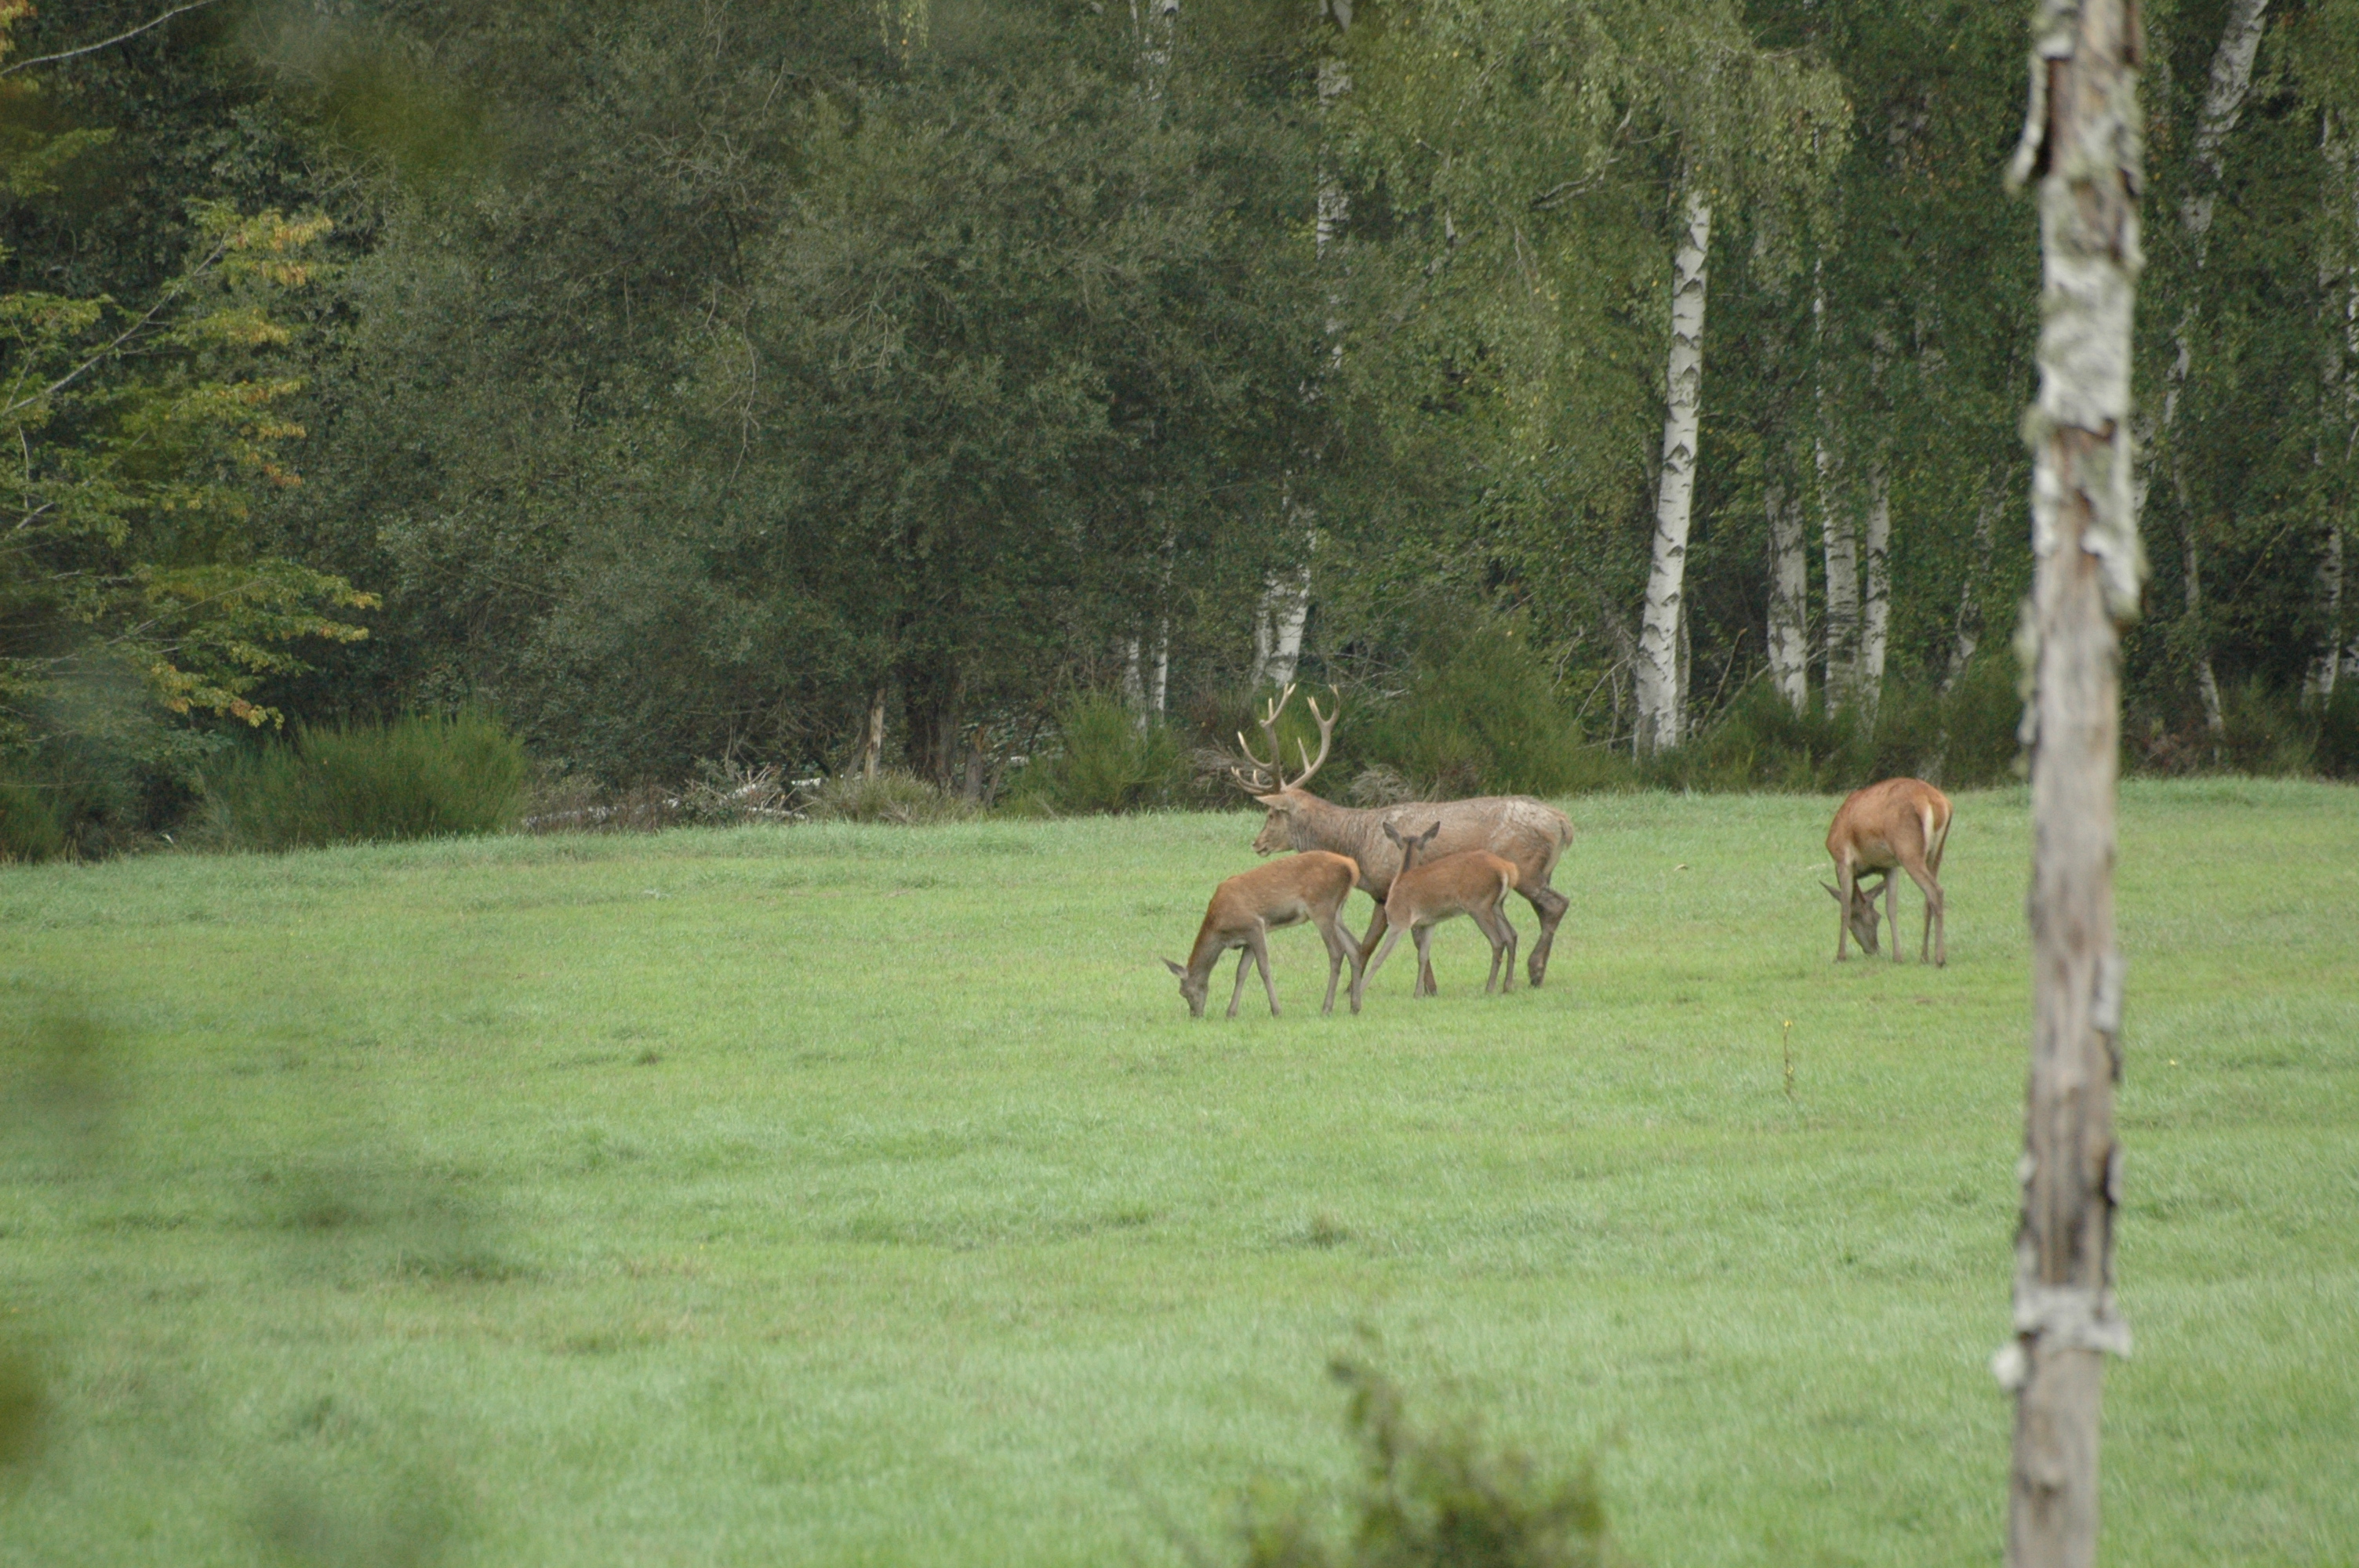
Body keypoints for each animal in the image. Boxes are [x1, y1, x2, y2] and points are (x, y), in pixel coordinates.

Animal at [1163, 850, 1366, 1018]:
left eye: (1184, 992)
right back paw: (1355, 1007)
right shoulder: (1247, 939)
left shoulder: (1254, 926)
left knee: (1337, 951)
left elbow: (1264, 969)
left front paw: (1276, 1010)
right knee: (1354, 946)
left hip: (1322, 907)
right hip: (1337, 911)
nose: (1195, 1015)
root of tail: (1352, 867)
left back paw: (1326, 1008)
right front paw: (1231, 1012)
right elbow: (1241, 972)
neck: (1219, 929)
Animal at [1352, 821, 1520, 1004]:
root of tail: (1508, 869)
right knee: (1511, 935)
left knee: (1497, 941)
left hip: (1478, 905)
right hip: (1496, 905)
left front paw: (1359, 991)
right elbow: (1423, 956)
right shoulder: (1430, 922)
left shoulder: (1399, 920)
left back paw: (1490, 987)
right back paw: (1508, 986)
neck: (1401, 878)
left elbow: (1380, 957)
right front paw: (1418, 993)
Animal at [1824, 776, 1953, 966]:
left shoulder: (1843, 859)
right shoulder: (1890, 867)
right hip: (1936, 852)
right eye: (1876, 917)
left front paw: (1840, 956)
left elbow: (1845, 907)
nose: (1873, 949)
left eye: (1857, 917)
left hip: (1908, 850)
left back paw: (1939, 958)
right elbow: (1891, 908)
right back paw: (1924, 956)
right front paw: (1897, 956)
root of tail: (1935, 802)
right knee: (1928, 897)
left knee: (1935, 891)